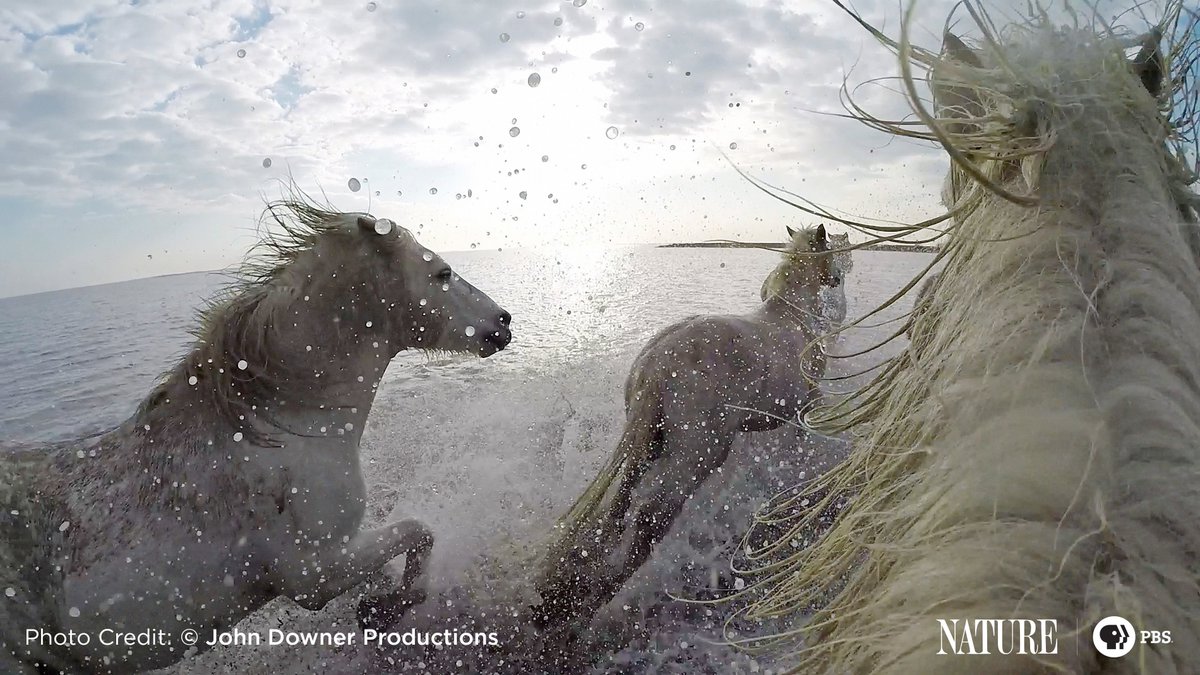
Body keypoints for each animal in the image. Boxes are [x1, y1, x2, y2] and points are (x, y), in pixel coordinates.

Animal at [0, 195, 512, 674]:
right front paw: (385, 610)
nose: (503, 322)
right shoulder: (312, 572)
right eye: (443, 273)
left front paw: (379, 606)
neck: (283, 422)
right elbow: (420, 532)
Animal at [531, 224, 838, 639]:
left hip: (649, 446)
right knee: (649, 518)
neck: (791, 317)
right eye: (831, 252)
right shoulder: (803, 404)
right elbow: (805, 436)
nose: (836, 278)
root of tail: (655, 366)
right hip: (696, 456)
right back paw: (599, 601)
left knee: (620, 505)